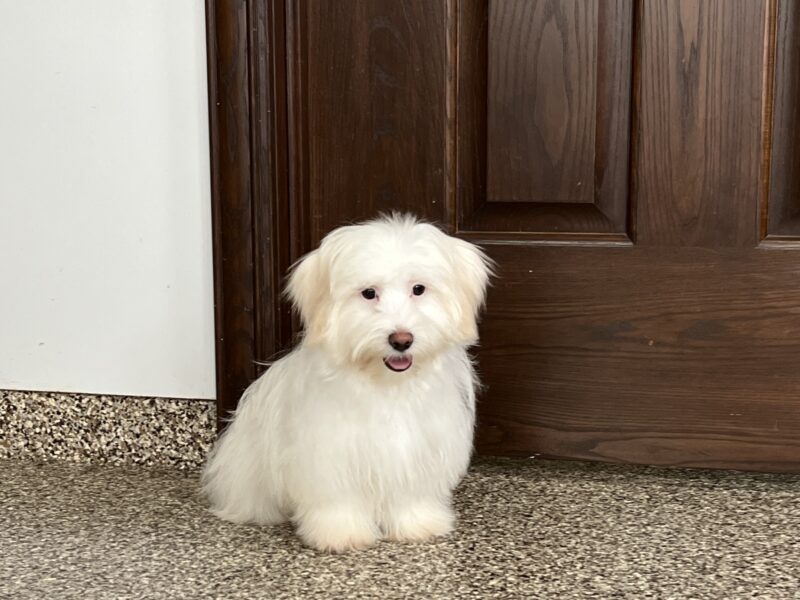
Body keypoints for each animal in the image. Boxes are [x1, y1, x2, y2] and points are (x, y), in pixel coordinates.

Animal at [202, 214, 492, 552]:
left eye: (418, 289)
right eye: (368, 293)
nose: (401, 340)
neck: (386, 385)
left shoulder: (418, 449)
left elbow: (410, 494)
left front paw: (417, 524)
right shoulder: (329, 452)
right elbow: (337, 499)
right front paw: (342, 534)